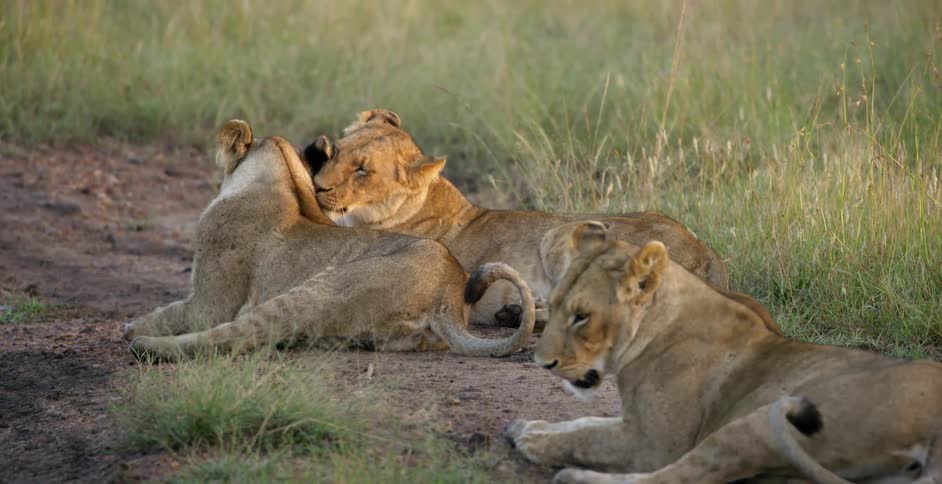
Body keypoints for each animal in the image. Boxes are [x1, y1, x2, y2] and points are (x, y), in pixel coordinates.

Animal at [123, 119, 534, 359]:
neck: (281, 182)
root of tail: (448, 294)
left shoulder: (209, 304)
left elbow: (171, 312)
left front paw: (134, 327)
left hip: (320, 289)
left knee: (238, 336)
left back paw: (146, 347)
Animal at [302, 109, 729, 327]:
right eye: (338, 150)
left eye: (363, 170)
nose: (318, 187)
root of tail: (707, 253)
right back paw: (515, 313)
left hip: (561, 232)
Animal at [505, 221, 942, 483]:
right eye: (553, 305)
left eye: (582, 316)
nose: (542, 363)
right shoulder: (633, 422)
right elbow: (587, 422)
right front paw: (527, 427)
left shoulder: (654, 444)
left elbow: (588, 438)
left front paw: (533, 442)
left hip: (761, 421)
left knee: (674, 478)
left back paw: (574, 476)